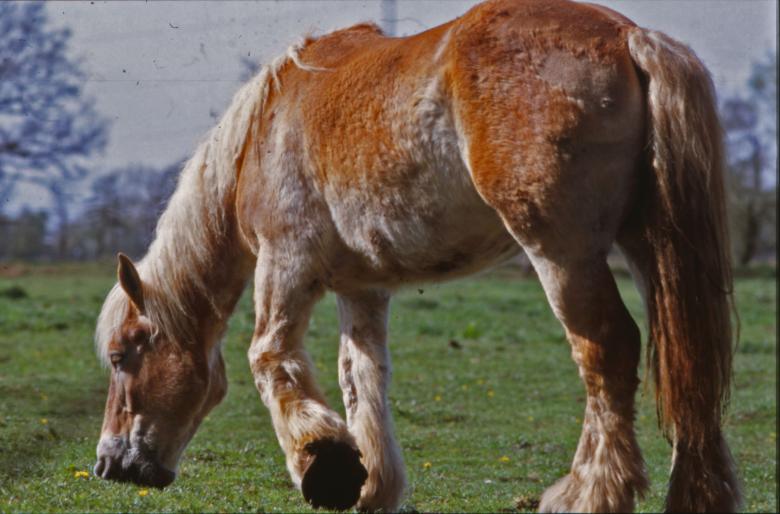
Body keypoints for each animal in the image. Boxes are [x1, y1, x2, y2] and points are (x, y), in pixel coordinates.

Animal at [92, 0, 740, 511]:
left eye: (122, 356)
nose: (106, 465)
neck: (264, 132)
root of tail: (628, 36)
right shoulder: (360, 288)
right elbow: (361, 378)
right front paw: (370, 485)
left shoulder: (285, 261)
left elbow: (269, 357)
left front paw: (324, 466)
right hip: (650, 249)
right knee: (688, 364)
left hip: (562, 254)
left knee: (608, 351)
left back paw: (588, 494)